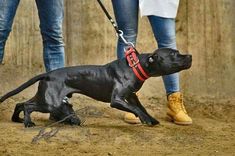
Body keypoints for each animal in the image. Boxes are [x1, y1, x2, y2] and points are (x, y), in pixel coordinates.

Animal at [0, 48, 191, 127]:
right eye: (174, 54)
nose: (190, 56)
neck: (136, 66)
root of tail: (48, 74)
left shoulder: (131, 96)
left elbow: (140, 107)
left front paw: (150, 119)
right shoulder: (117, 100)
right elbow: (136, 109)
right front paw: (144, 119)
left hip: (45, 97)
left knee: (21, 103)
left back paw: (17, 119)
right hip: (49, 102)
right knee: (27, 105)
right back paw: (28, 123)